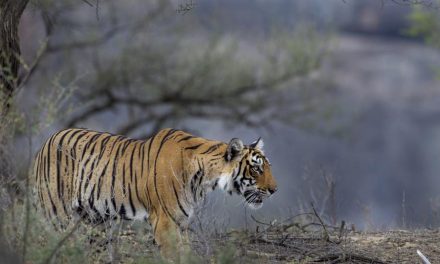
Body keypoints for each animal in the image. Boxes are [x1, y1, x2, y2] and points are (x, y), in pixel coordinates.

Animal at [34, 128, 276, 256]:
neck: (204, 178)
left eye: (267, 166)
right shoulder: (164, 222)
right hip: (58, 215)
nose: (274, 190)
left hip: (96, 221)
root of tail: (47, 140)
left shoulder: (182, 223)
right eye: (256, 168)